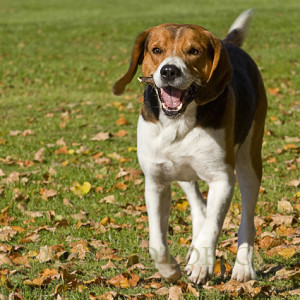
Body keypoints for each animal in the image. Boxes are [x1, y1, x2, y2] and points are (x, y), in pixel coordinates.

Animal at [112, 9, 268, 284]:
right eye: (156, 50)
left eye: (194, 51)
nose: (169, 71)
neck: (179, 122)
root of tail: (228, 44)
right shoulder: (156, 182)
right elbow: (156, 243)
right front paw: (169, 270)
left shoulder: (222, 179)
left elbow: (213, 226)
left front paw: (201, 264)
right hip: (182, 172)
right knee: (200, 207)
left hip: (249, 163)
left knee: (247, 219)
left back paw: (243, 267)